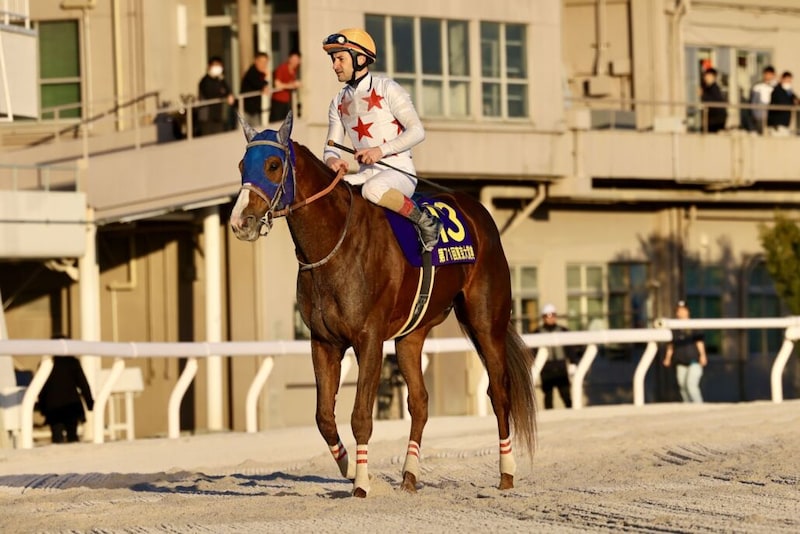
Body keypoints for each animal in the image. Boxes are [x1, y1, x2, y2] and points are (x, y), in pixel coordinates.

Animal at [230, 112, 536, 497]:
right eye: (242, 165)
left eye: (272, 165)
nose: (240, 222)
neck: (335, 243)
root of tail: (478, 211)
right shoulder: (323, 342)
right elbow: (323, 417)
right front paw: (349, 469)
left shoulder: (369, 339)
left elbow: (361, 414)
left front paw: (361, 482)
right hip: (411, 335)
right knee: (419, 401)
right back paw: (409, 475)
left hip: (485, 321)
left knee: (499, 391)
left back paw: (506, 473)